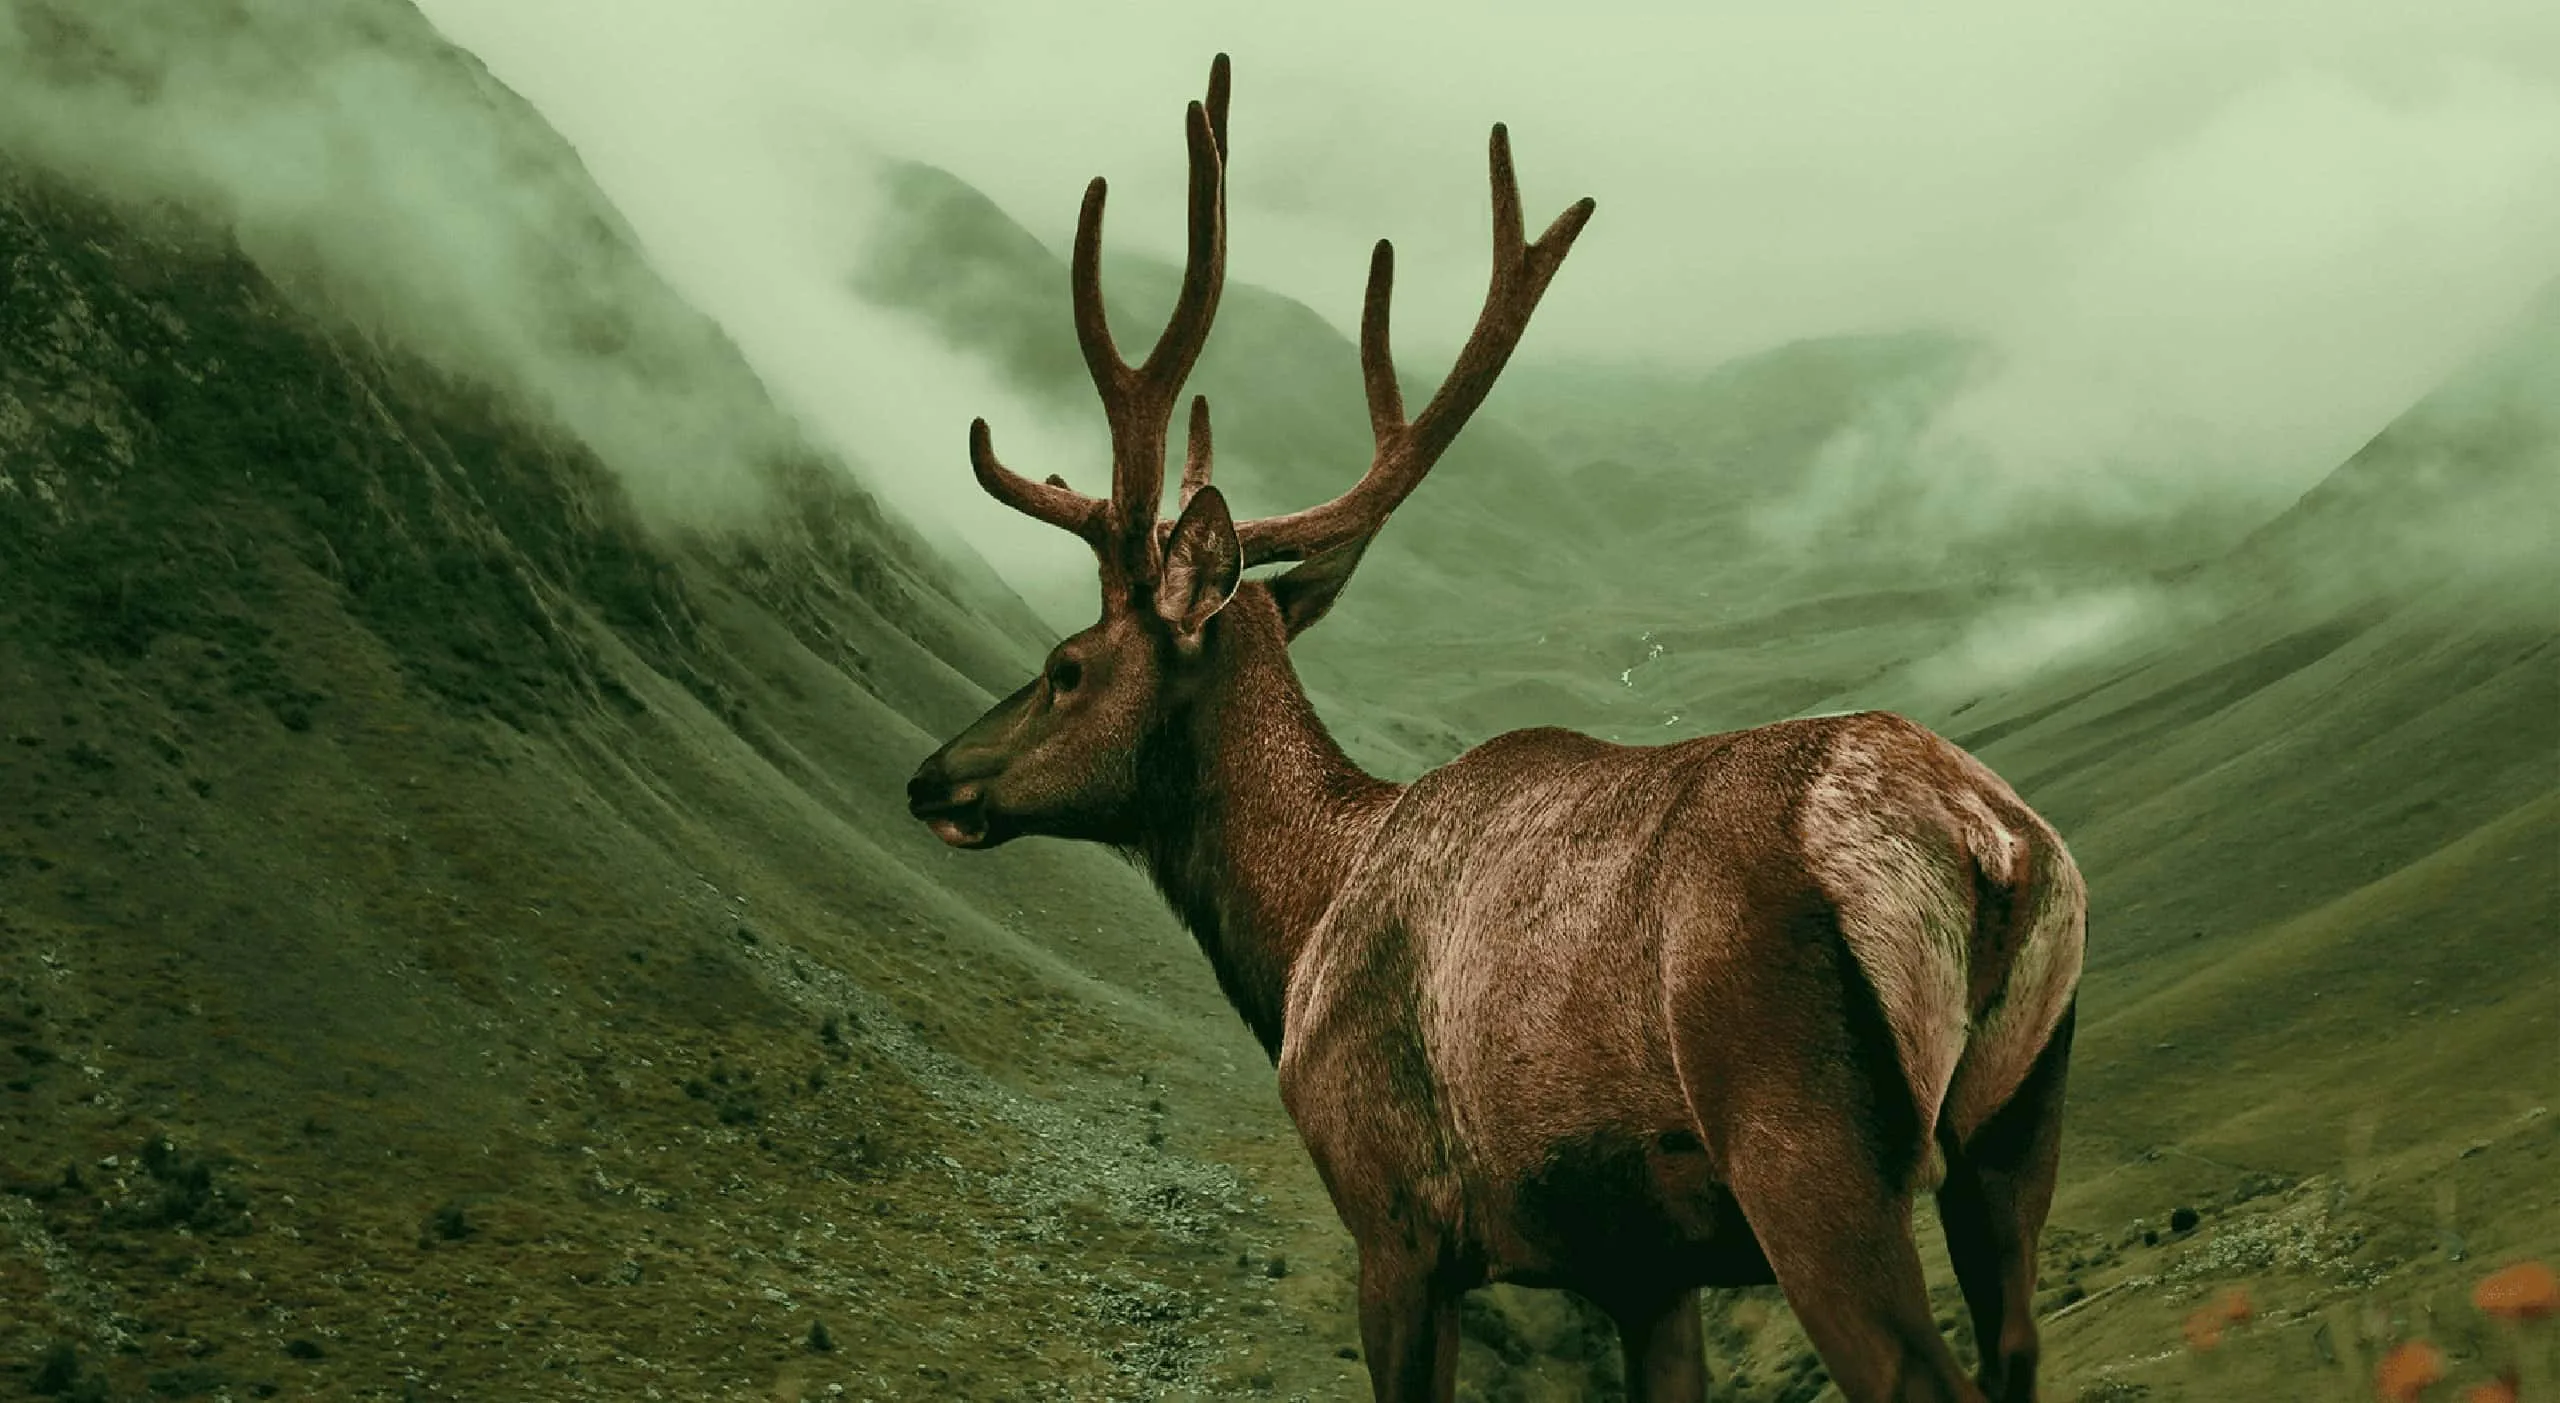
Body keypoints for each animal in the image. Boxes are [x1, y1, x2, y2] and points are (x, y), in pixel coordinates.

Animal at [904, 54, 2087, 1403]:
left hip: (1804, 1139)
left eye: (1065, 666)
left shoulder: (1395, 1218)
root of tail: (1988, 847)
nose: (932, 776)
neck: (1295, 930)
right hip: (2017, 1127)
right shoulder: (1642, 1265)